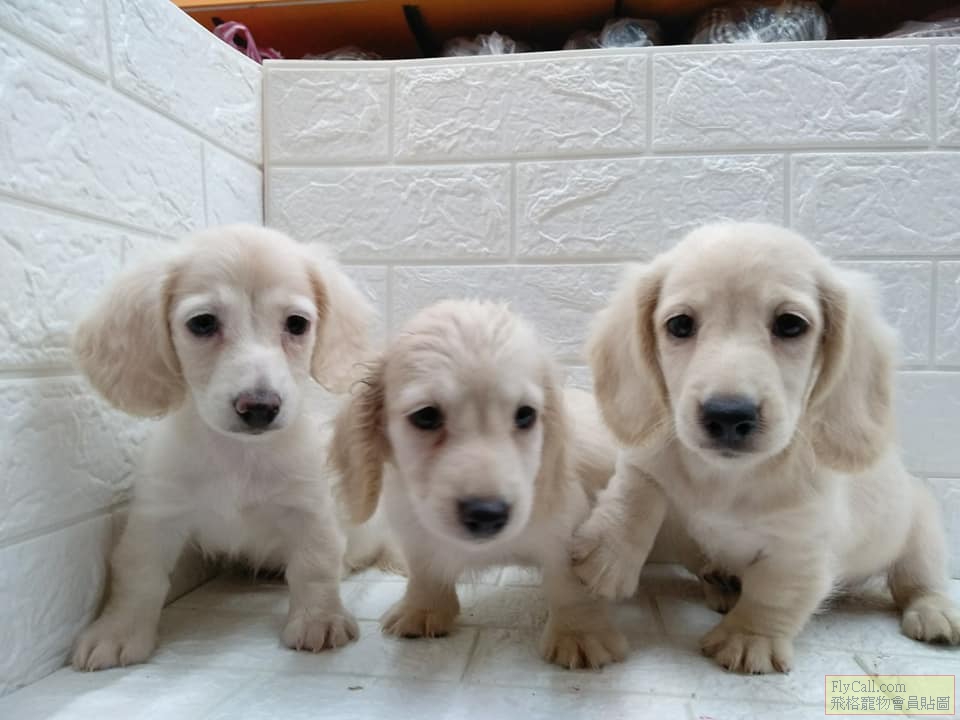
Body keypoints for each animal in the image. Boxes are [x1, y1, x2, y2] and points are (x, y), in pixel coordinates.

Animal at [71, 224, 373, 670]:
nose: (260, 407)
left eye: (297, 324)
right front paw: (119, 631)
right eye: (202, 323)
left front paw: (320, 619)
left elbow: (315, 567)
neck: (238, 456)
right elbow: (138, 575)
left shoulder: (310, 510)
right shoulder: (157, 516)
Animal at [332, 300, 628, 669]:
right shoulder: (413, 527)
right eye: (426, 416)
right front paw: (422, 609)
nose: (487, 514)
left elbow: (569, 584)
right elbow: (425, 569)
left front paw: (579, 633)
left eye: (526, 415)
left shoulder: (567, 531)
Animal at [572, 221, 960, 674]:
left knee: (920, 579)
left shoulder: (799, 546)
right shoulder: (647, 463)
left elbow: (773, 594)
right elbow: (636, 497)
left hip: (921, 530)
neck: (726, 476)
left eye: (791, 324)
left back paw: (935, 612)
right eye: (680, 324)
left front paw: (747, 639)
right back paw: (720, 583)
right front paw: (607, 556)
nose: (727, 415)